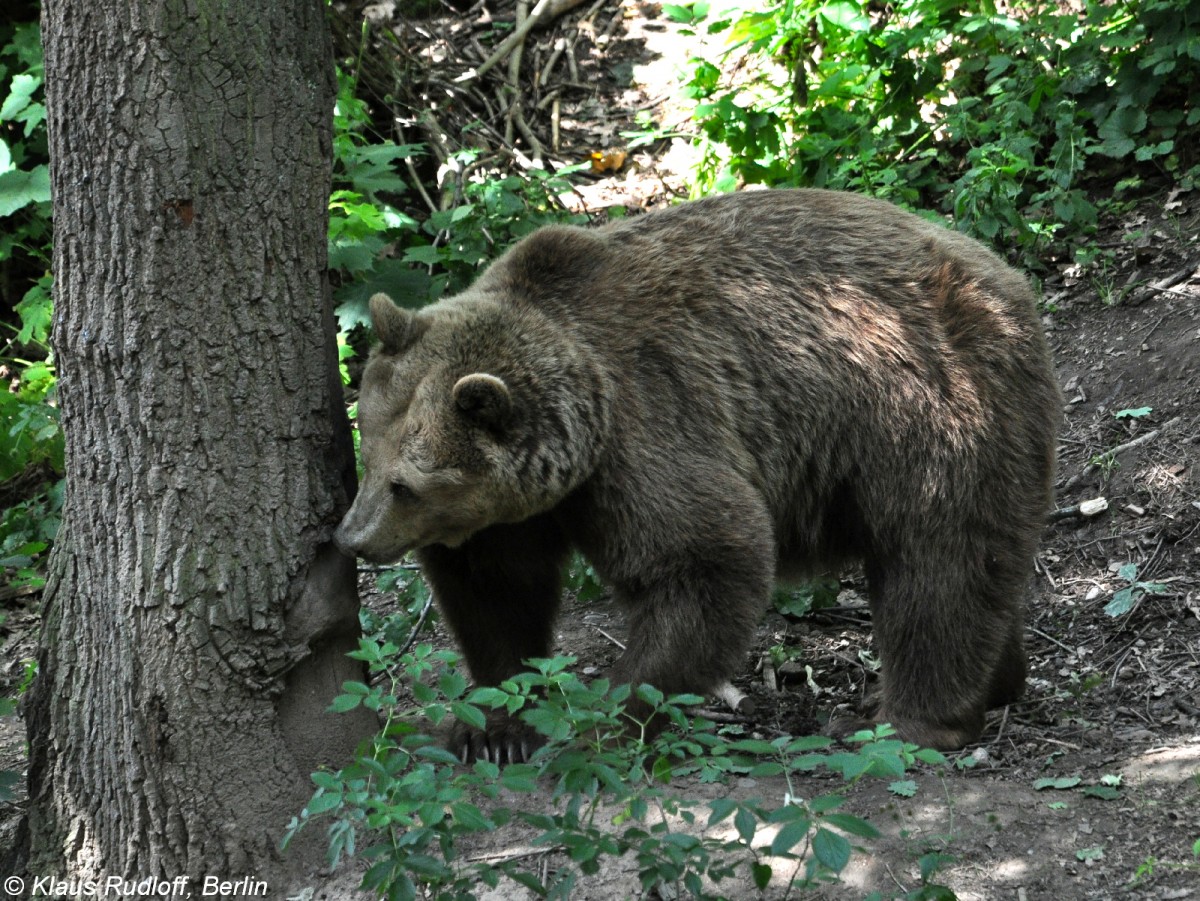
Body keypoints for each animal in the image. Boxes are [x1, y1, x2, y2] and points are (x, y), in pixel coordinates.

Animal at [336, 188, 1060, 763]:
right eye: (368, 458)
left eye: (405, 485)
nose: (352, 539)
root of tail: (1009, 281)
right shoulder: (517, 512)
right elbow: (498, 594)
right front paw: (495, 728)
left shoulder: (646, 428)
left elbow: (706, 556)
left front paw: (607, 717)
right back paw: (1002, 680)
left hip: (924, 409)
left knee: (936, 560)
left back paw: (907, 720)